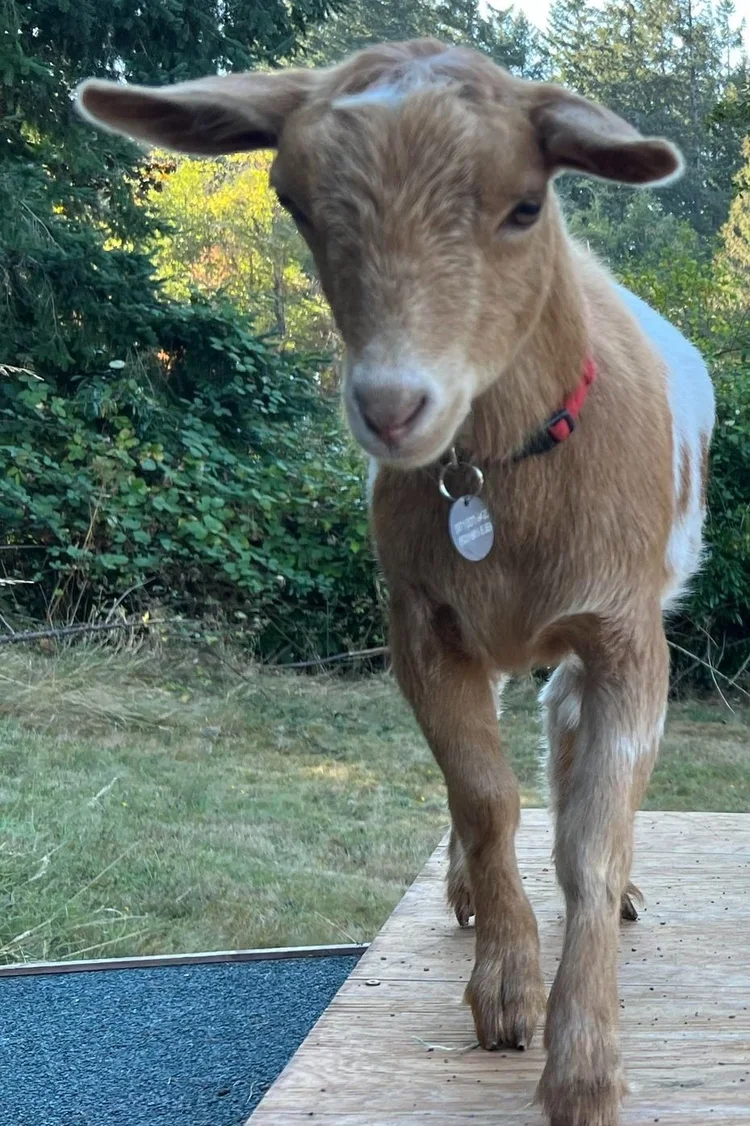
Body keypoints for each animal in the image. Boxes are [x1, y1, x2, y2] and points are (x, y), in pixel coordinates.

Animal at [77, 39, 716, 1126]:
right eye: (291, 199)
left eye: (525, 205)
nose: (391, 407)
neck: (499, 475)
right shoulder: (421, 622)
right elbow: (483, 797)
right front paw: (506, 989)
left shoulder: (627, 629)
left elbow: (591, 837)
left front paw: (585, 1068)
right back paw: (467, 892)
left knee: (565, 732)